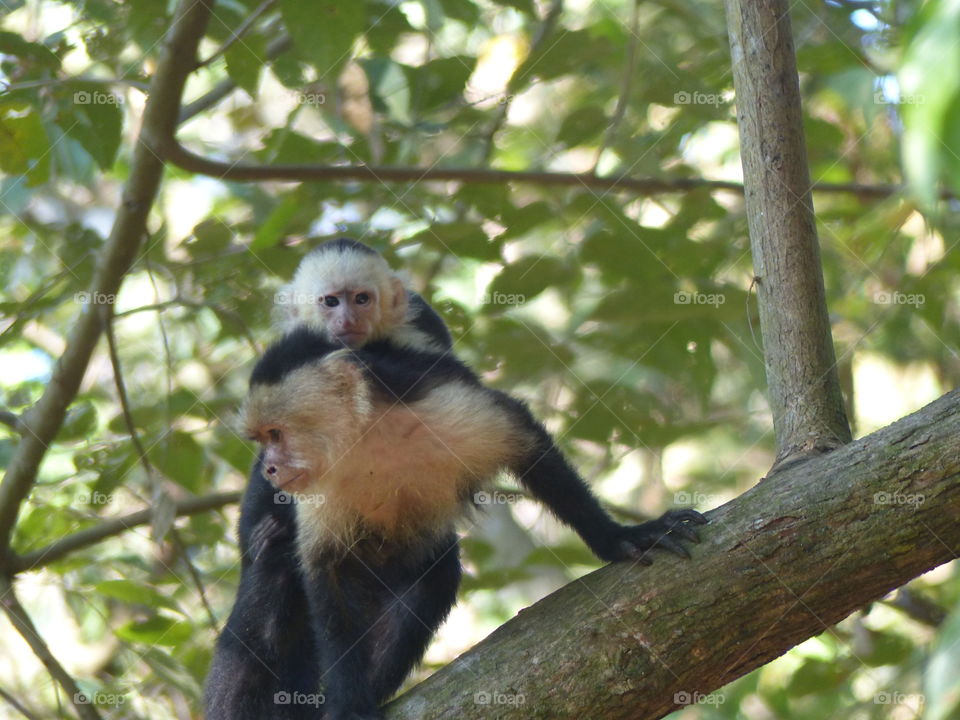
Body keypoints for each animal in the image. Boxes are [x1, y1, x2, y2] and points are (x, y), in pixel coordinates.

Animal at [212, 327, 706, 720]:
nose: (269, 468)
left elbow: (527, 444)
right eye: (261, 439)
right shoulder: (319, 488)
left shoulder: (441, 403)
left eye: (277, 433)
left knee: (434, 573)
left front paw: (621, 538)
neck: (368, 437)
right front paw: (349, 704)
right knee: (271, 585)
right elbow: (323, 570)